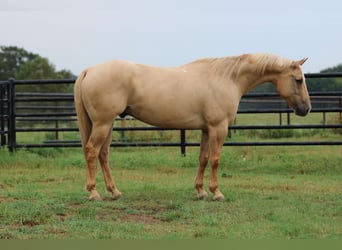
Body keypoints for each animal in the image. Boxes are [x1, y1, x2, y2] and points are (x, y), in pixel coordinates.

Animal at [75, 53, 312, 201]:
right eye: (298, 80)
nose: (306, 109)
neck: (227, 78)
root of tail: (89, 70)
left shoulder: (207, 129)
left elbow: (203, 158)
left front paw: (200, 191)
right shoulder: (219, 127)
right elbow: (215, 159)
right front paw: (216, 192)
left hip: (106, 125)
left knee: (103, 155)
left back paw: (114, 191)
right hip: (103, 123)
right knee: (92, 151)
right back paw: (94, 193)